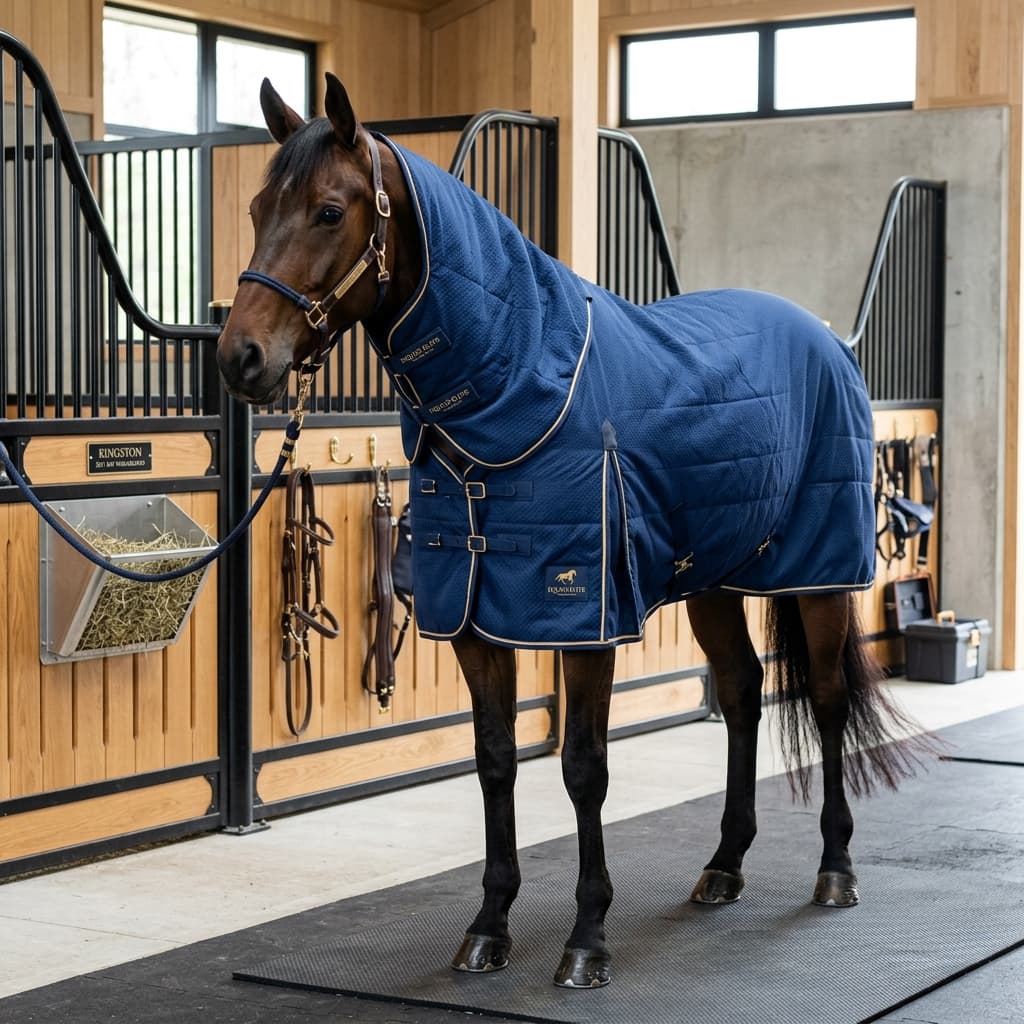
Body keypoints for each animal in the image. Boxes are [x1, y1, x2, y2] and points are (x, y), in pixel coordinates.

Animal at [217, 73, 924, 989]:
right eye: (259, 205)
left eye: (330, 211)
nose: (239, 358)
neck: (514, 387)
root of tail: (828, 340)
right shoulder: (474, 621)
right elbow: (493, 762)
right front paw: (488, 928)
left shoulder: (583, 619)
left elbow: (584, 769)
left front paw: (587, 940)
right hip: (714, 579)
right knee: (740, 694)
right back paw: (723, 866)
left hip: (820, 576)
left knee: (830, 700)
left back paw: (835, 870)